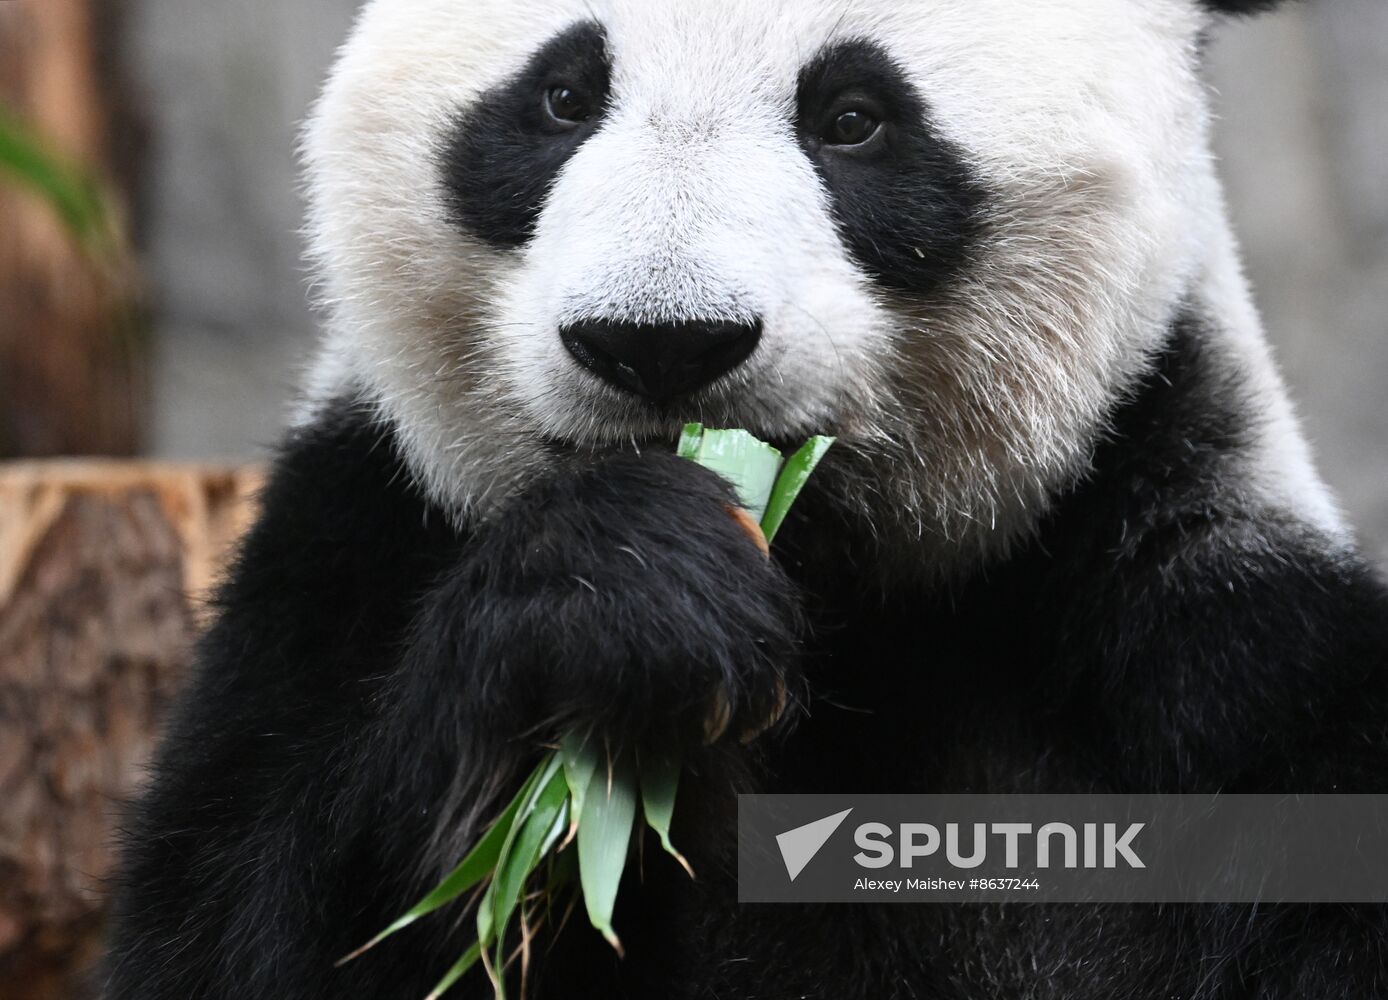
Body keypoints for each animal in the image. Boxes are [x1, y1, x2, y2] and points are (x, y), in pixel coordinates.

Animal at [102, 0, 1388, 994]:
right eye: (562, 95)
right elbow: (242, 926)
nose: (658, 341)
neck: (828, 597)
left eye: (853, 117)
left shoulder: (1217, 656)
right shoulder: (350, 553)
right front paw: (624, 597)